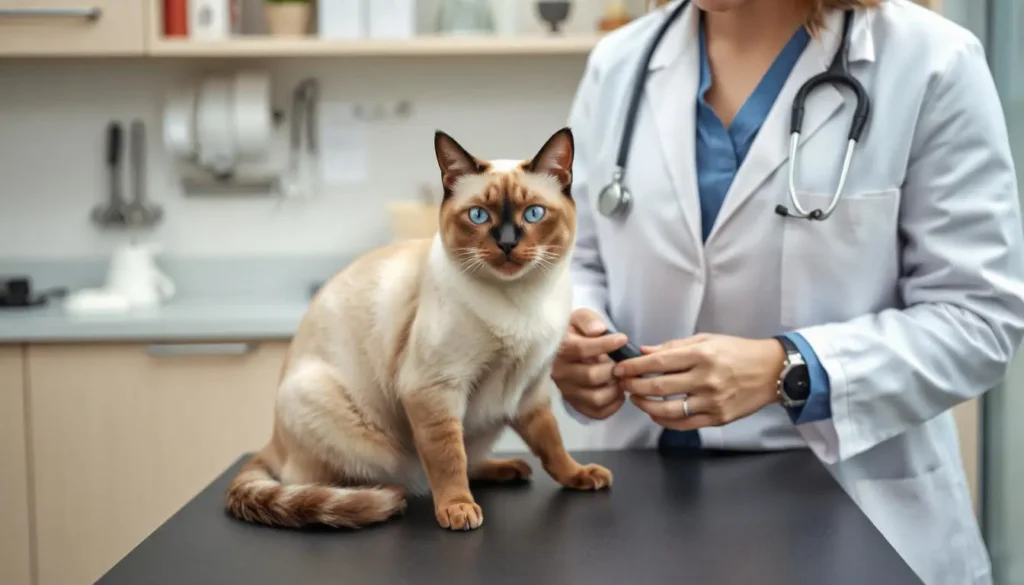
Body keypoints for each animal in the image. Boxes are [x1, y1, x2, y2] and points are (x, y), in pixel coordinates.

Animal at [228, 127, 610, 532]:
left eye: (534, 213)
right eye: (478, 215)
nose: (507, 243)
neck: (523, 302)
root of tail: (272, 442)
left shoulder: (529, 390)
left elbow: (551, 445)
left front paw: (579, 475)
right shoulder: (433, 390)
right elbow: (447, 459)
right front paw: (457, 509)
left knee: (471, 457)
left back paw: (507, 467)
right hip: (323, 406)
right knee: (326, 483)